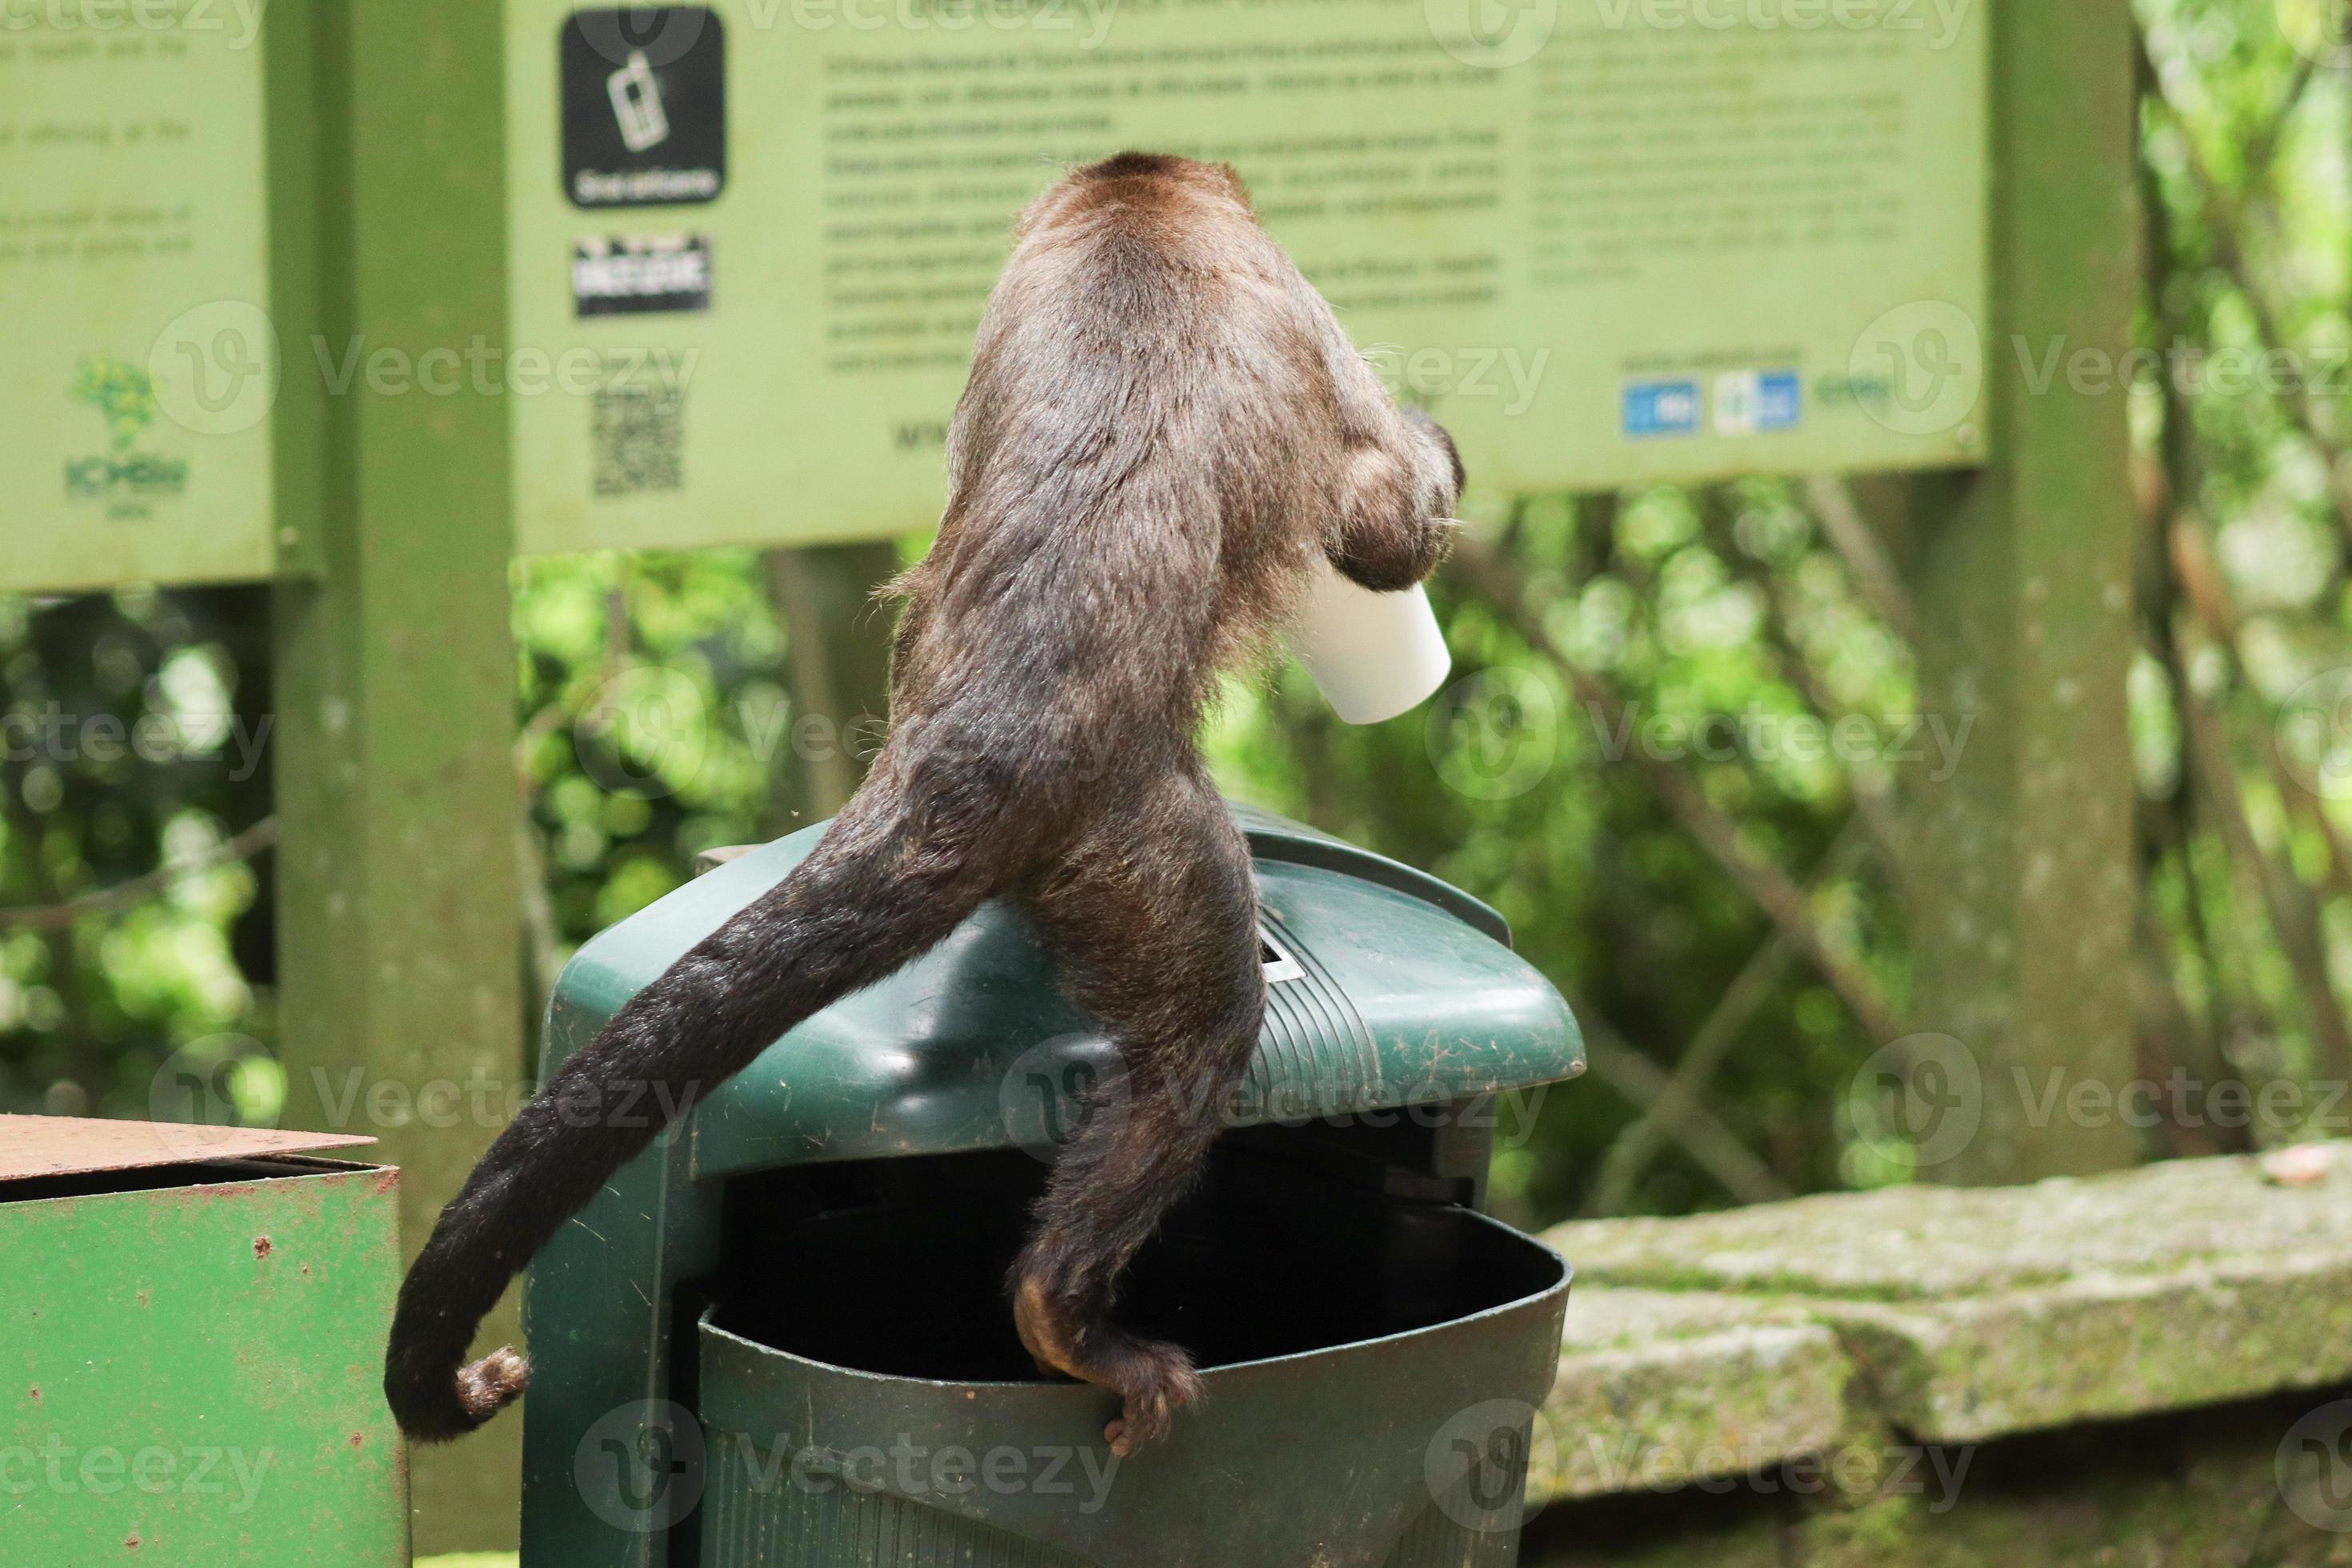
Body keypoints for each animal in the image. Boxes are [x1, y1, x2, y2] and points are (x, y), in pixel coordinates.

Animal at [386, 150, 1458, 1457]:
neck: (1136, 208)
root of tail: (982, 743)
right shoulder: (1292, 298)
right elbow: (1382, 510)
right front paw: (1424, 478)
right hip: (1132, 828)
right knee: (1203, 1032)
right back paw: (1064, 1313)